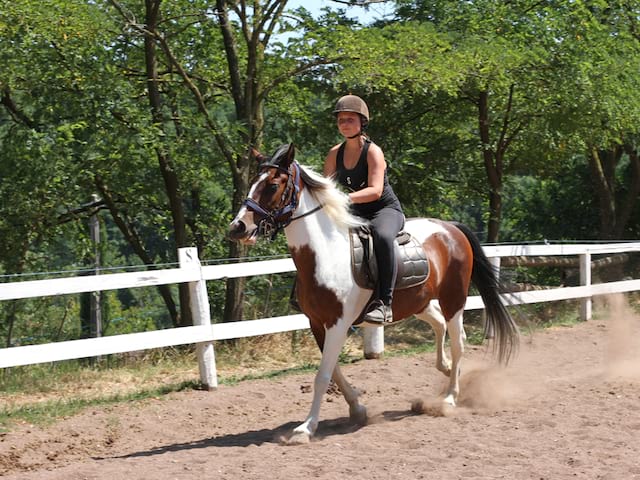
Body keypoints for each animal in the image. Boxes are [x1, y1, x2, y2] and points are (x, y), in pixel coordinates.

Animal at [228, 144, 516, 444]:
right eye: (253, 182)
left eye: (272, 185)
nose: (237, 227)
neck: (325, 253)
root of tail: (450, 227)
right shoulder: (317, 323)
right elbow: (334, 372)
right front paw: (357, 408)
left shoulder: (337, 324)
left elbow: (323, 376)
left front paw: (305, 428)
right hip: (420, 303)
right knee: (439, 325)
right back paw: (446, 368)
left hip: (454, 300)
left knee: (458, 341)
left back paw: (449, 398)